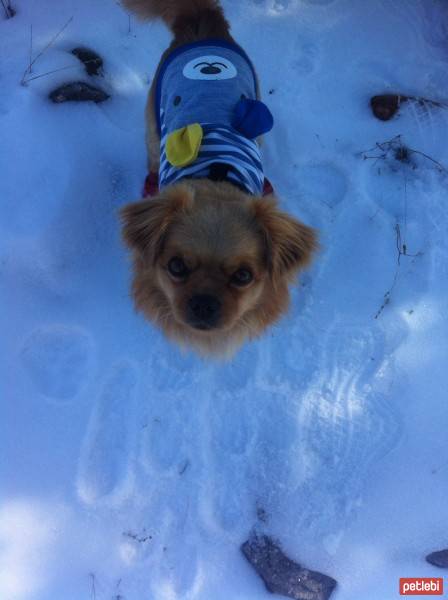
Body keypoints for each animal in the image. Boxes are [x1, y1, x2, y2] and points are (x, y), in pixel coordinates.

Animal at [121, 0, 316, 356]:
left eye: (243, 276)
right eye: (176, 266)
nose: (204, 303)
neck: (216, 177)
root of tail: (201, 19)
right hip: (154, 126)